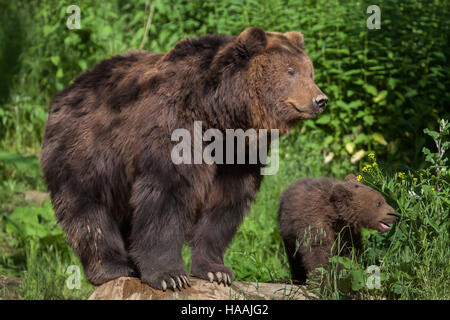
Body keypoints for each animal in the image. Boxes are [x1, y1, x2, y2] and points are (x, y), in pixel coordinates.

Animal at [41, 27, 326, 290]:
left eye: (309, 72)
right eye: (291, 71)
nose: (320, 99)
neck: (219, 117)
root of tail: (67, 89)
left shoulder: (237, 155)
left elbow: (224, 205)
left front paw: (216, 270)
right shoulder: (175, 127)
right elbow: (167, 195)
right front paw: (170, 276)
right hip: (85, 151)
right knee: (87, 209)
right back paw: (112, 267)